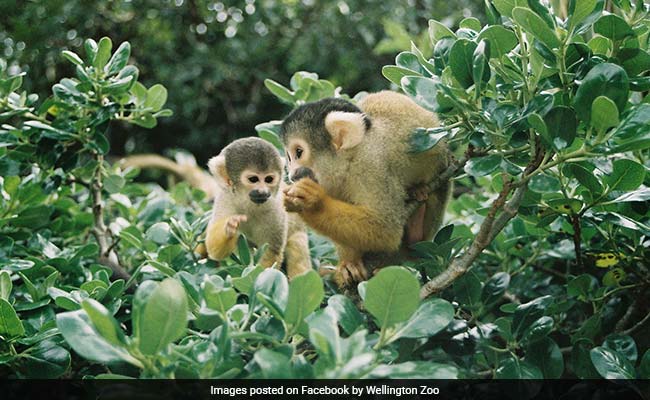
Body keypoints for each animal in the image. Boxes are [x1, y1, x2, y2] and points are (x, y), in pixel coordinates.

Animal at [204, 138, 312, 278]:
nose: (263, 191)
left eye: (269, 179)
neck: (249, 204)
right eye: (253, 179)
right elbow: (215, 251)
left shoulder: (276, 208)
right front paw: (229, 227)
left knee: (296, 245)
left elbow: (271, 251)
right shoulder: (226, 198)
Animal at [278, 91, 450, 288]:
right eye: (289, 158)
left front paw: (313, 203)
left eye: (299, 152)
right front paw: (349, 263)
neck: (350, 160)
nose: (292, 175)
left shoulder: (371, 166)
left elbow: (386, 228)